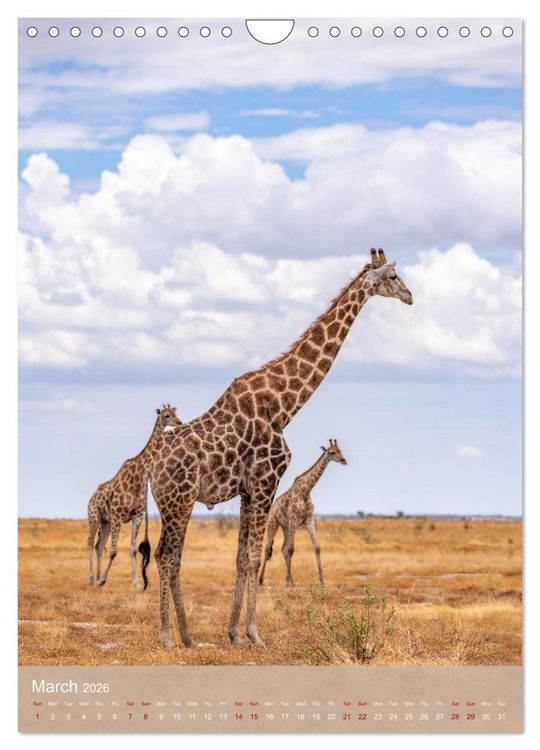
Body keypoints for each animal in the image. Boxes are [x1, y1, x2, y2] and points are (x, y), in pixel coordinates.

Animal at [87, 404, 182, 588]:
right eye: (166, 415)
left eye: (175, 413)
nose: (179, 422)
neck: (137, 478)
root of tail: (91, 498)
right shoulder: (117, 516)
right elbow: (114, 551)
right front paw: (104, 579)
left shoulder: (137, 517)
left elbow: (132, 549)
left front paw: (136, 582)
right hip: (94, 517)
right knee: (89, 543)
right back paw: (91, 578)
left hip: (105, 521)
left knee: (99, 546)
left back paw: (97, 578)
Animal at [258, 439, 347, 588]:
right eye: (332, 452)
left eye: (341, 450)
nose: (344, 460)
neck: (306, 490)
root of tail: (272, 506)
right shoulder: (294, 519)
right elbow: (291, 549)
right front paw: (290, 583)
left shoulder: (309, 520)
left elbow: (317, 547)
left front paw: (322, 580)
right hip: (273, 523)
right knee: (268, 548)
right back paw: (261, 580)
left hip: (286, 526)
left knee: (283, 548)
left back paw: (288, 579)